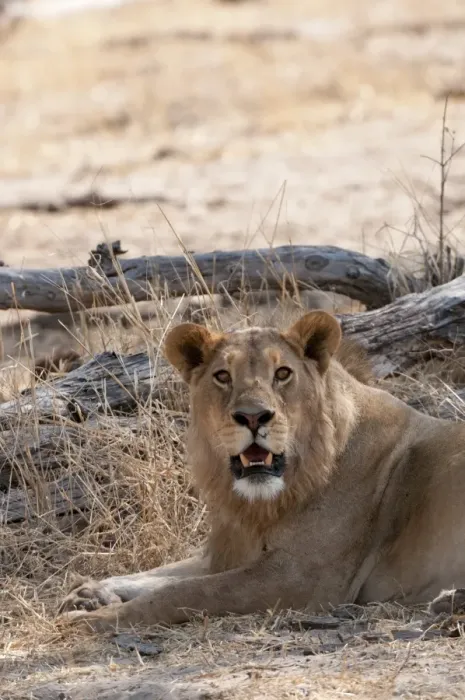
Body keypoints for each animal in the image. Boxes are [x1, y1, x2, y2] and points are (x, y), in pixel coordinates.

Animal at [59, 311, 465, 631]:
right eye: (223, 376)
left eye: (282, 373)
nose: (253, 417)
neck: (265, 504)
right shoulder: (231, 552)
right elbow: (162, 575)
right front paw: (91, 593)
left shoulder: (301, 576)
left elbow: (186, 590)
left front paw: (95, 619)